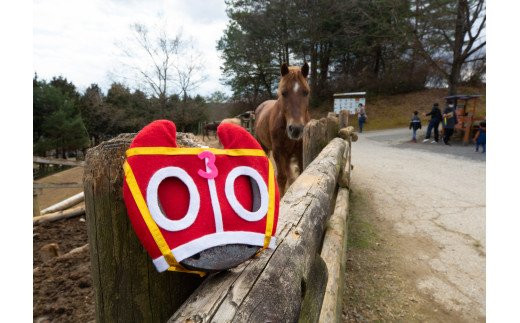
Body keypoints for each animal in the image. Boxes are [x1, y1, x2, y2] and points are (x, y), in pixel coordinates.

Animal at [255, 63, 308, 195]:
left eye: (306, 92)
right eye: (283, 93)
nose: (296, 129)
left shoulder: (299, 151)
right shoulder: (278, 152)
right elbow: (281, 178)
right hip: (264, 146)